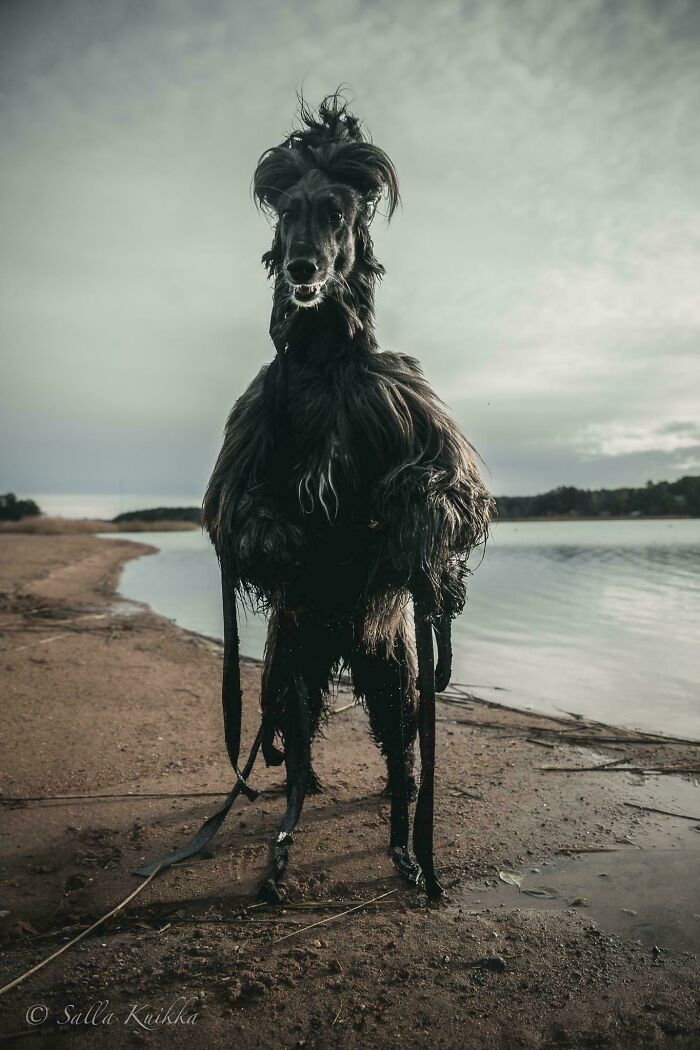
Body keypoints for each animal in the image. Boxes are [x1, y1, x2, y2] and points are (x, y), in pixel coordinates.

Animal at [199, 94, 491, 902]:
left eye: (337, 210)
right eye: (288, 209)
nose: (302, 267)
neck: (327, 361)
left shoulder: (425, 424)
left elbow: (450, 488)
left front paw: (405, 526)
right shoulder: (240, 460)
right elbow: (238, 514)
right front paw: (296, 542)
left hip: (394, 670)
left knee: (403, 763)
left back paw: (407, 851)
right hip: (293, 666)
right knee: (296, 760)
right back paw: (283, 847)